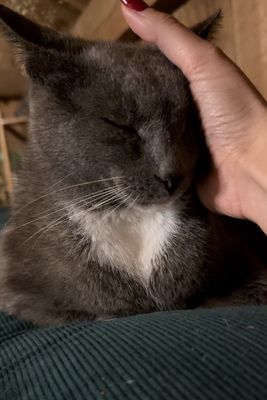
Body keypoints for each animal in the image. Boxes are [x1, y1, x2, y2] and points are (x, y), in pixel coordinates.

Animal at [0, 4, 266, 326]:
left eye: (188, 123)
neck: (130, 217)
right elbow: (84, 310)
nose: (171, 174)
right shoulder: (18, 287)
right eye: (120, 125)